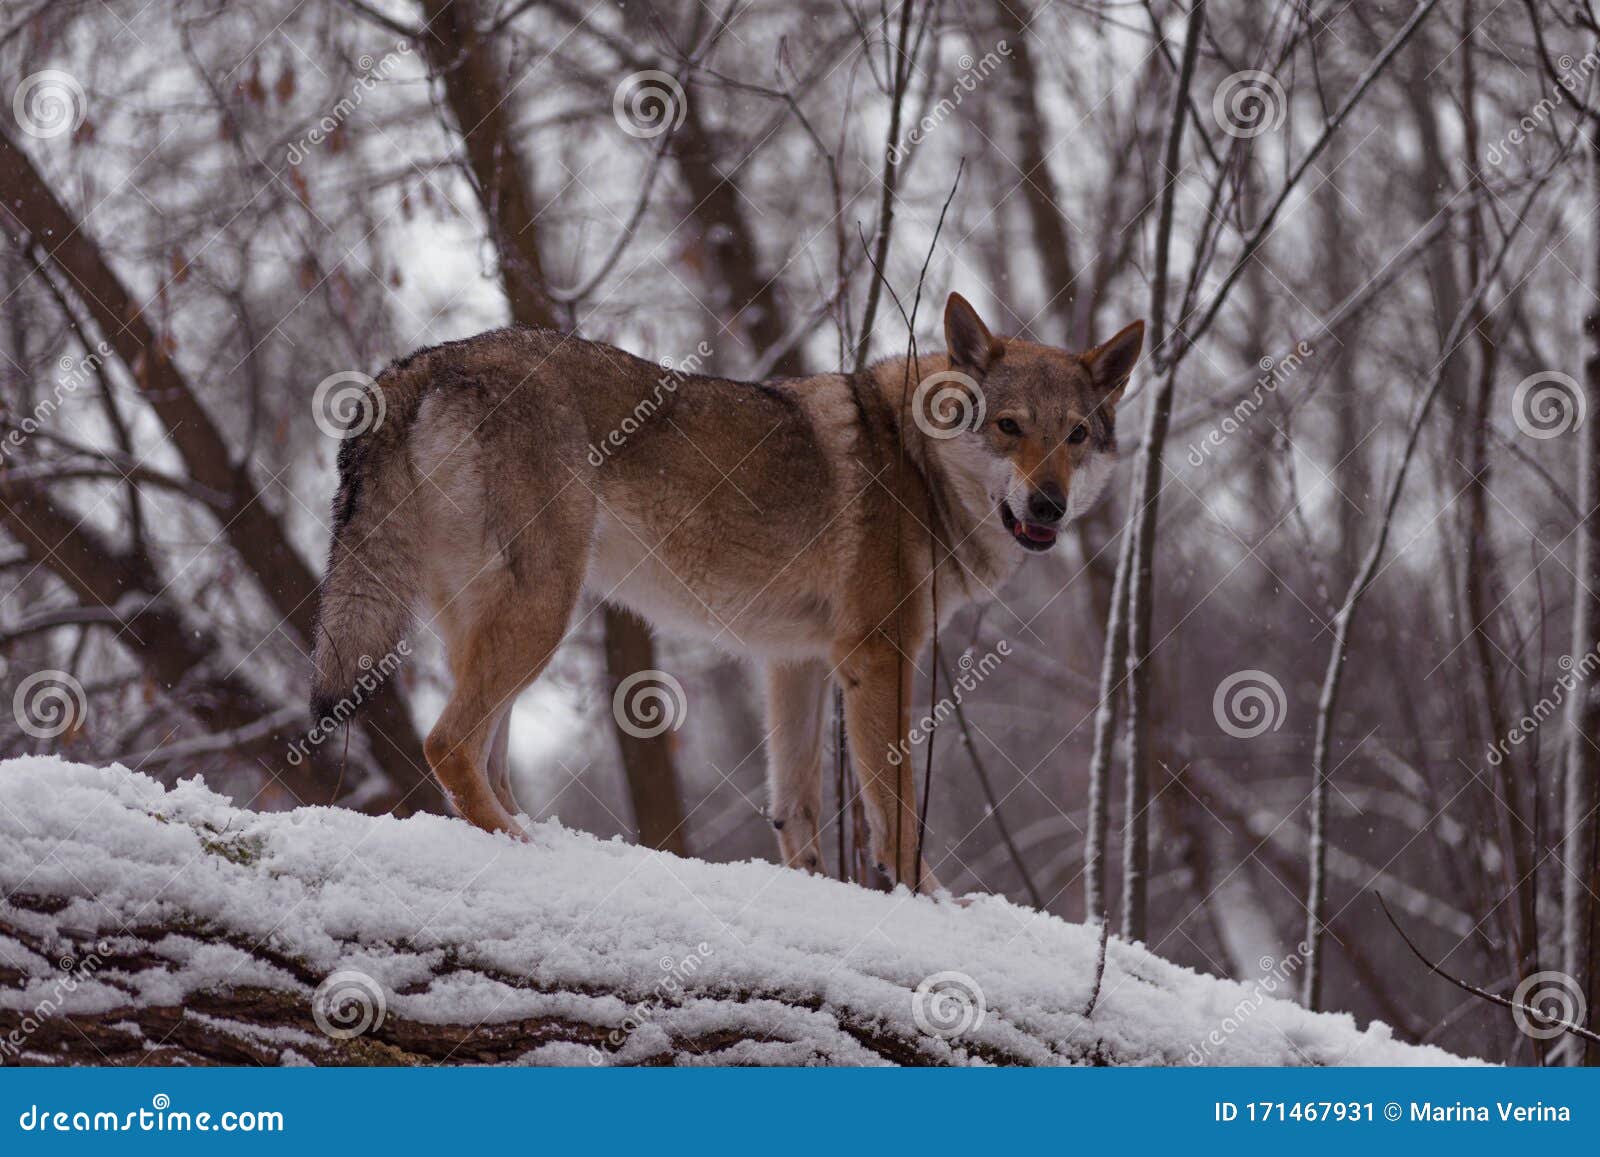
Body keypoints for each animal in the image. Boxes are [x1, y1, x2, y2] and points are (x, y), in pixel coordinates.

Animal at [308, 294, 1139, 889]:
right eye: (1009, 427)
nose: (1048, 506)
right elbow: (896, 818)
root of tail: (422, 362)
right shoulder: (878, 658)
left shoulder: (796, 663)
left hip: (500, 625)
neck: (917, 463)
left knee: (485, 757)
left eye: (1076, 436)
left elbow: (796, 812)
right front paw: (936, 906)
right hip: (542, 613)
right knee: (447, 743)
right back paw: (524, 848)